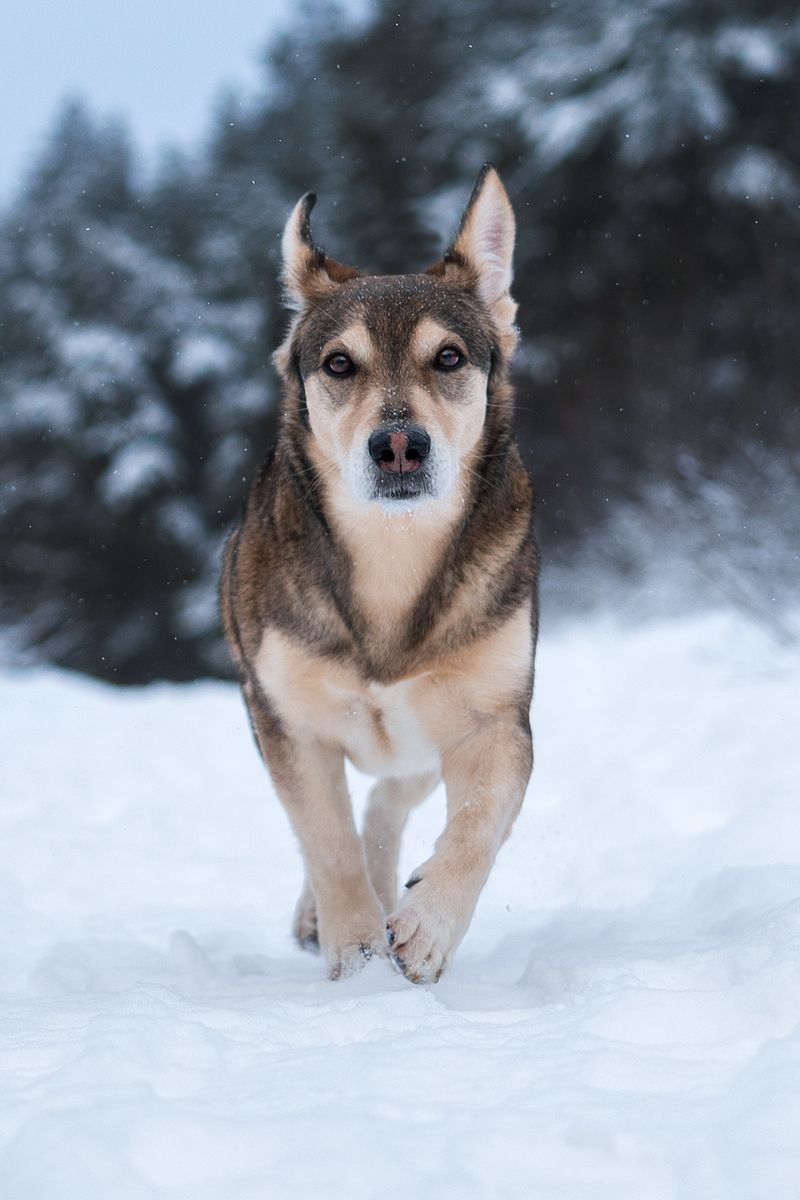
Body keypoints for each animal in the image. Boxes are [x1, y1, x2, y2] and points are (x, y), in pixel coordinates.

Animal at [221, 164, 542, 979]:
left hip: (424, 735)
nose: (399, 445)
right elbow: (326, 840)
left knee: (391, 796)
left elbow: (479, 823)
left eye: (450, 358)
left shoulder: (494, 714)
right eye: (339, 363)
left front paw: (426, 928)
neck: (392, 554)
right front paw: (356, 955)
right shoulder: (282, 714)